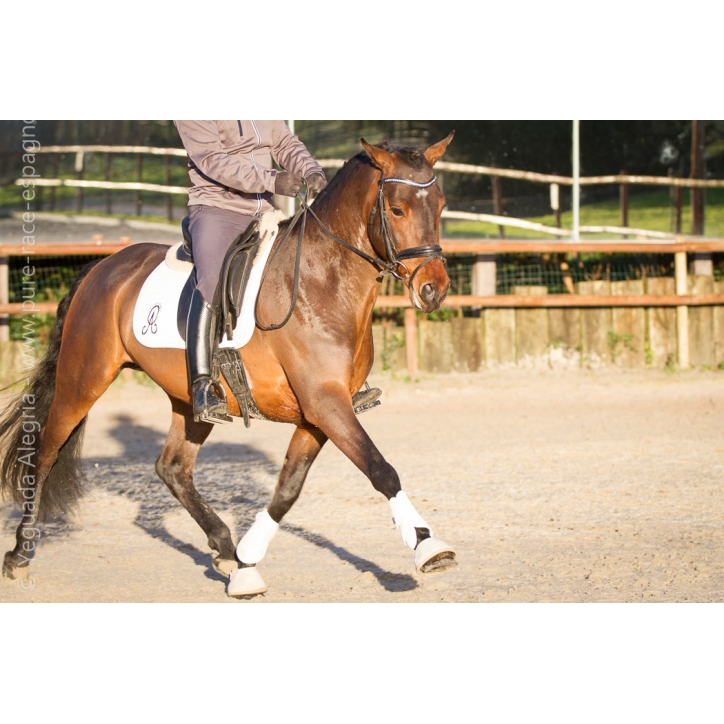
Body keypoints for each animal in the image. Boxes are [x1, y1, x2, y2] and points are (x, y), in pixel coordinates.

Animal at [0, 133, 458, 598]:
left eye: (439, 205)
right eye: (397, 209)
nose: (433, 289)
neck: (320, 282)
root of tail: (101, 267)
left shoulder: (318, 413)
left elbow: (287, 490)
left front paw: (246, 562)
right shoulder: (326, 404)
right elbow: (381, 469)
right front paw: (427, 546)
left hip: (190, 401)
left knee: (172, 467)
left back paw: (222, 548)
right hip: (83, 379)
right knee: (44, 453)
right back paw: (19, 554)